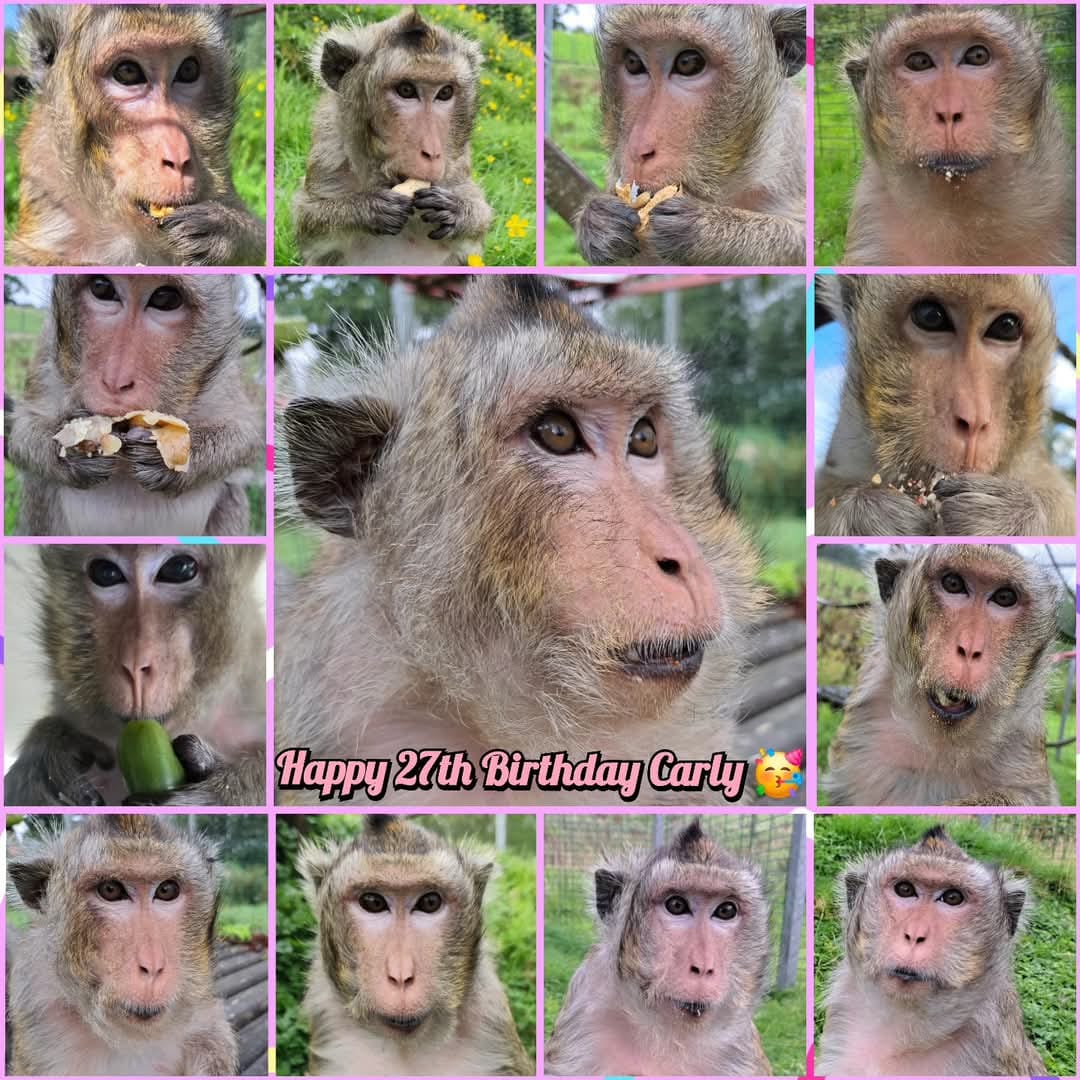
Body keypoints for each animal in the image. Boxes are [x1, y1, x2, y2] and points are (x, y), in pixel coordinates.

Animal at [6, 274, 264, 537]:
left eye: (165, 299)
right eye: (102, 289)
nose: (115, 380)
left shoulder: (226, 371)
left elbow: (246, 436)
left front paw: (172, 456)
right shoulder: (47, 351)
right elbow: (21, 433)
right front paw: (77, 451)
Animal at [293, 9, 494, 267]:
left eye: (445, 93)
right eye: (406, 90)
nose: (432, 153)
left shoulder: (458, 163)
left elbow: (479, 225)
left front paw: (457, 211)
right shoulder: (328, 152)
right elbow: (308, 225)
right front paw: (367, 209)